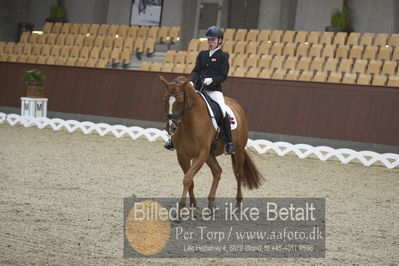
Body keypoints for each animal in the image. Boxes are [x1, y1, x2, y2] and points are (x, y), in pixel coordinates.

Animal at [159, 76, 266, 213]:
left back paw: (237, 206)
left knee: (238, 174)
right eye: (164, 100)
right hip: (210, 155)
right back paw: (211, 205)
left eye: (180, 102)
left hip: (238, 151)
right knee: (217, 171)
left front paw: (180, 209)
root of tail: (236, 105)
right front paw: (192, 205)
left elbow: (187, 178)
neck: (189, 123)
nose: (170, 128)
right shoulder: (182, 156)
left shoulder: (201, 154)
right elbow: (190, 180)